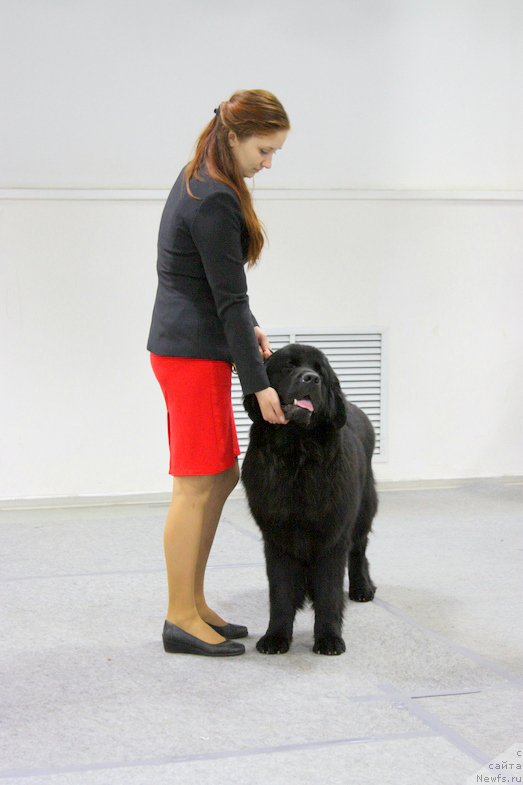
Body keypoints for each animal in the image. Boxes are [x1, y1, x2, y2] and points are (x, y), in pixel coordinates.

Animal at [244, 344, 378, 656]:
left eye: (320, 371)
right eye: (289, 367)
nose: (311, 379)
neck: (298, 452)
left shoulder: (333, 533)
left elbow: (329, 592)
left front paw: (329, 638)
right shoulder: (277, 536)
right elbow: (281, 592)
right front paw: (276, 637)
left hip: (363, 510)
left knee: (359, 551)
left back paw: (362, 588)